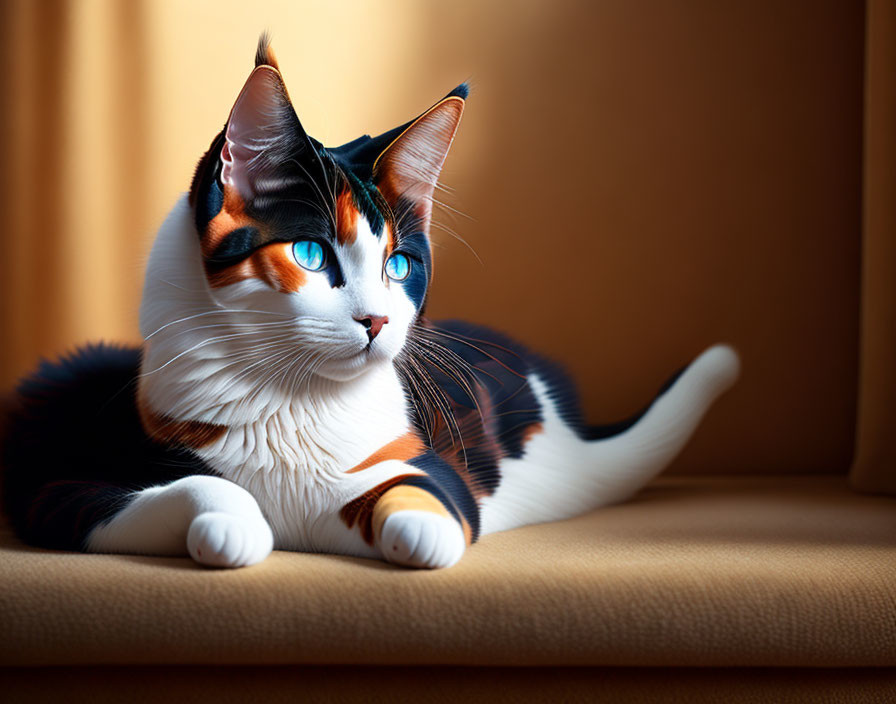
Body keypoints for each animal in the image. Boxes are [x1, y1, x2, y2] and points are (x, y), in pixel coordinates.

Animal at [0, 38, 740, 568]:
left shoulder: (427, 465)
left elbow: (421, 493)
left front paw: (418, 529)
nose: (377, 321)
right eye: (310, 254)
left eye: (399, 265)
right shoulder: (62, 492)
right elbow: (200, 488)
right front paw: (234, 525)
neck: (287, 402)